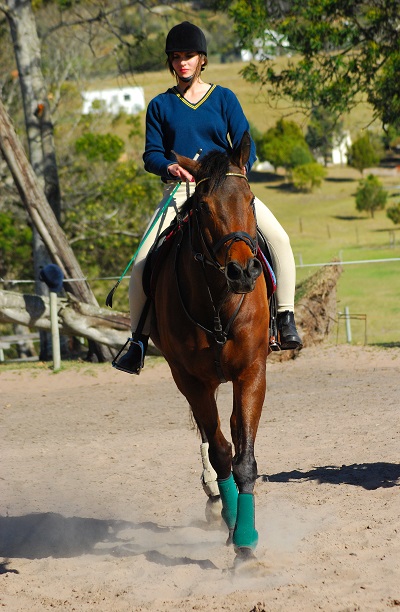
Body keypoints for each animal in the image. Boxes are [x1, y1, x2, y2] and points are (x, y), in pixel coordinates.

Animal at [152, 131, 270, 556]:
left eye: (250, 198)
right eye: (203, 207)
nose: (243, 271)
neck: (218, 299)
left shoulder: (251, 372)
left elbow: (244, 457)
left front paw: (247, 541)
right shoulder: (192, 381)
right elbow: (220, 453)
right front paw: (236, 527)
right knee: (210, 438)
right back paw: (217, 501)